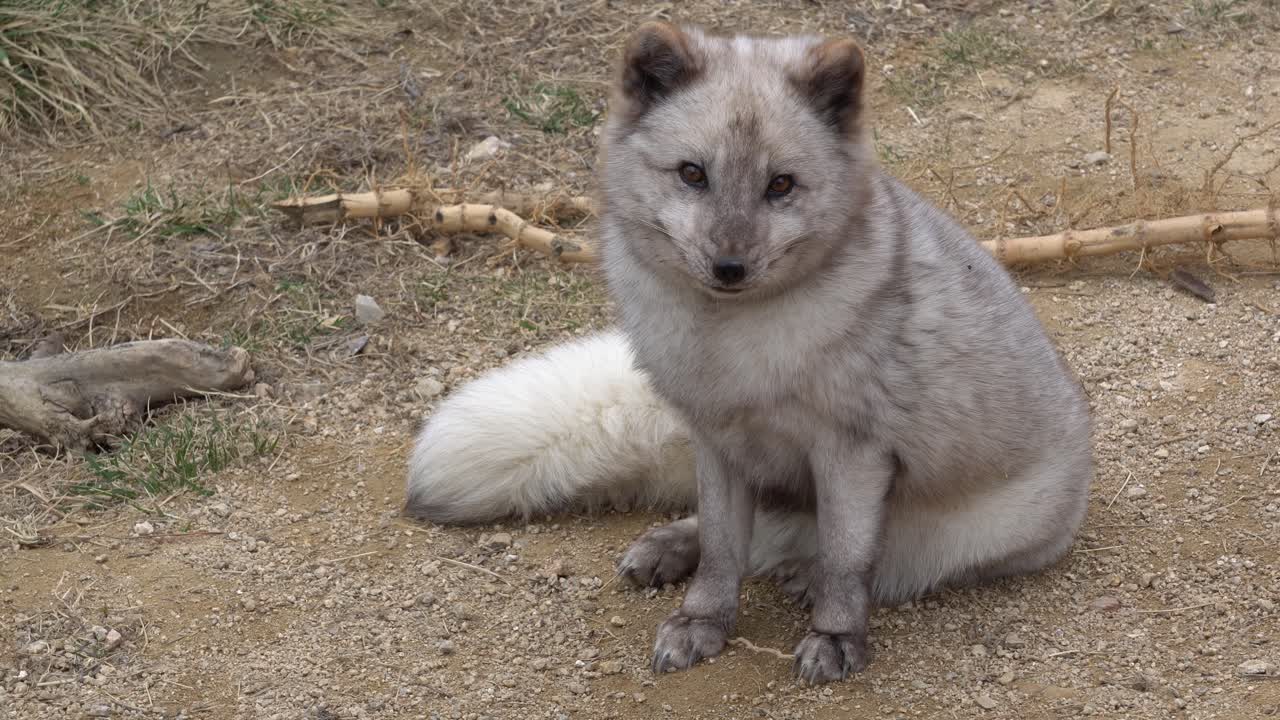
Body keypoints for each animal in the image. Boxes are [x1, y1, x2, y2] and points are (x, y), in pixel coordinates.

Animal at [405, 22, 1094, 685]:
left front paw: (836, 637)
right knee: (744, 539)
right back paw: (671, 547)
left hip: (971, 533)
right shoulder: (715, 440)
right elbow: (721, 547)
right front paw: (702, 621)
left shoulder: (853, 453)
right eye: (692, 174)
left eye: (781, 185)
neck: (724, 345)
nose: (729, 268)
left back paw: (805, 576)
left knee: (867, 561)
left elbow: (847, 559)